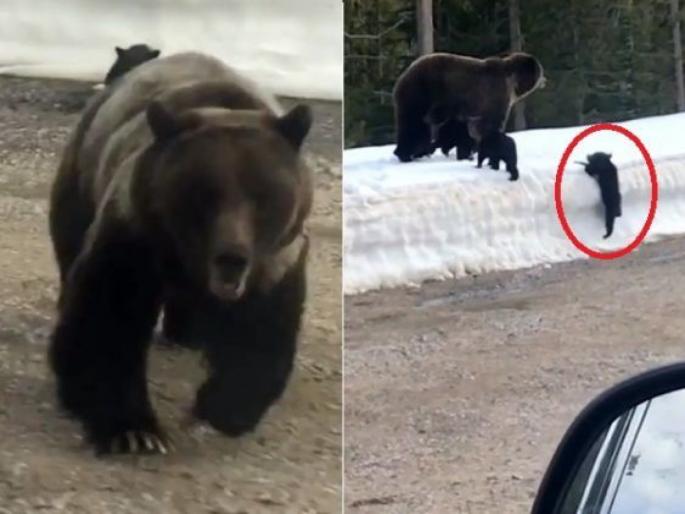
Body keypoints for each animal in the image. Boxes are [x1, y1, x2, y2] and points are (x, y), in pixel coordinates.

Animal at [48, 51, 313, 455]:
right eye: (205, 195)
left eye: (263, 197)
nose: (231, 258)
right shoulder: (136, 234)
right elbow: (108, 319)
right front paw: (136, 432)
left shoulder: (274, 261)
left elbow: (260, 333)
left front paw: (220, 410)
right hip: (84, 170)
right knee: (70, 240)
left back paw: (188, 335)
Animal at [392, 52, 545, 162]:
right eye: (540, 71)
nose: (545, 80)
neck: (512, 83)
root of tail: (403, 75)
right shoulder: (496, 95)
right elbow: (491, 123)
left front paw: (472, 150)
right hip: (422, 91)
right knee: (414, 123)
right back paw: (408, 154)